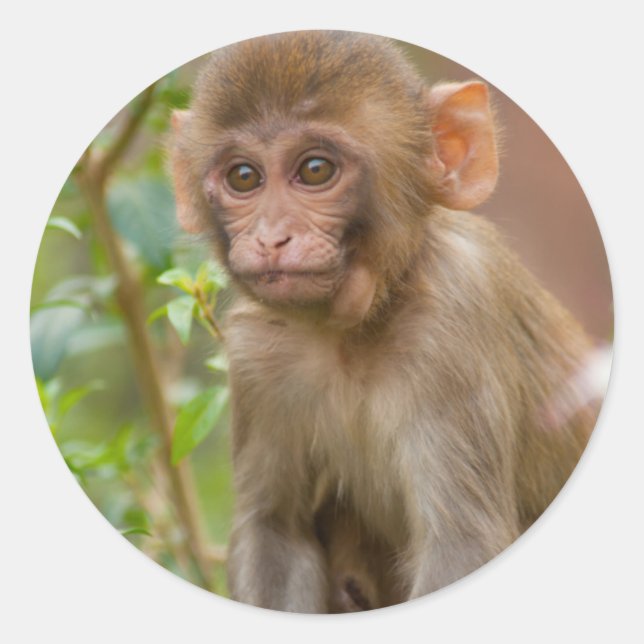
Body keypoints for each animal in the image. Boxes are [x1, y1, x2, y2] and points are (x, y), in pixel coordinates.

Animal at [169, 31, 602, 612]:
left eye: (315, 170)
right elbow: (276, 530)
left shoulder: (454, 318)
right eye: (244, 177)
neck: (352, 332)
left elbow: (461, 546)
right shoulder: (256, 352)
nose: (272, 237)